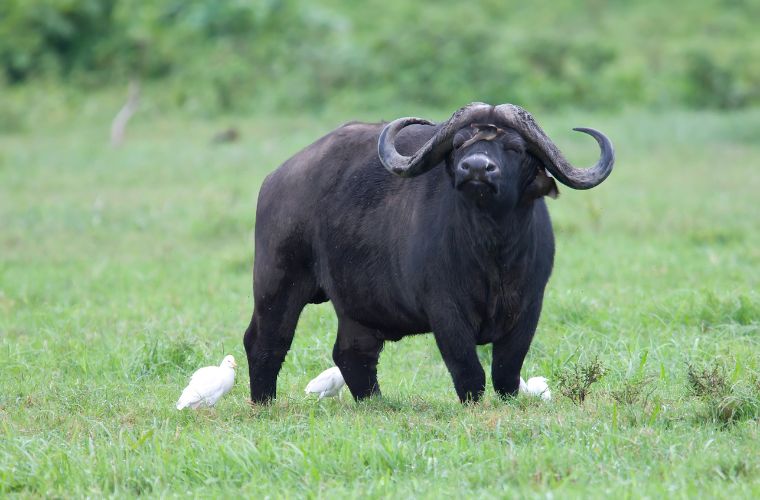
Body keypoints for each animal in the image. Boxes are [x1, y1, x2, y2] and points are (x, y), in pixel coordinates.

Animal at [243, 101, 612, 402]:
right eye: (460, 144)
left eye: (515, 147)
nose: (476, 168)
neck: (492, 253)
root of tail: (276, 179)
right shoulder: (445, 310)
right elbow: (469, 372)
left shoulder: (529, 307)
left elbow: (507, 371)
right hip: (277, 283)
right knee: (265, 341)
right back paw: (264, 401)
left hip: (355, 307)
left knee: (352, 354)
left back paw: (375, 402)